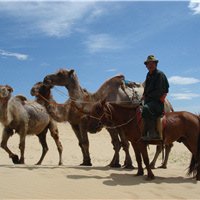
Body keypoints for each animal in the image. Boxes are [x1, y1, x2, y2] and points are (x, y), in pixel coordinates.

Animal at [43, 69, 173, 169]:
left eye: (60, 73)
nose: (46, 79)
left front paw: (128, 165)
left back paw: (153, 164)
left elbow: (123, 143)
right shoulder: (109, 124)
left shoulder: (114, 123)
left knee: (161, 144)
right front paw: (116, 164)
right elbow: (117, 143)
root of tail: (169, 104)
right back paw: (160, 164)